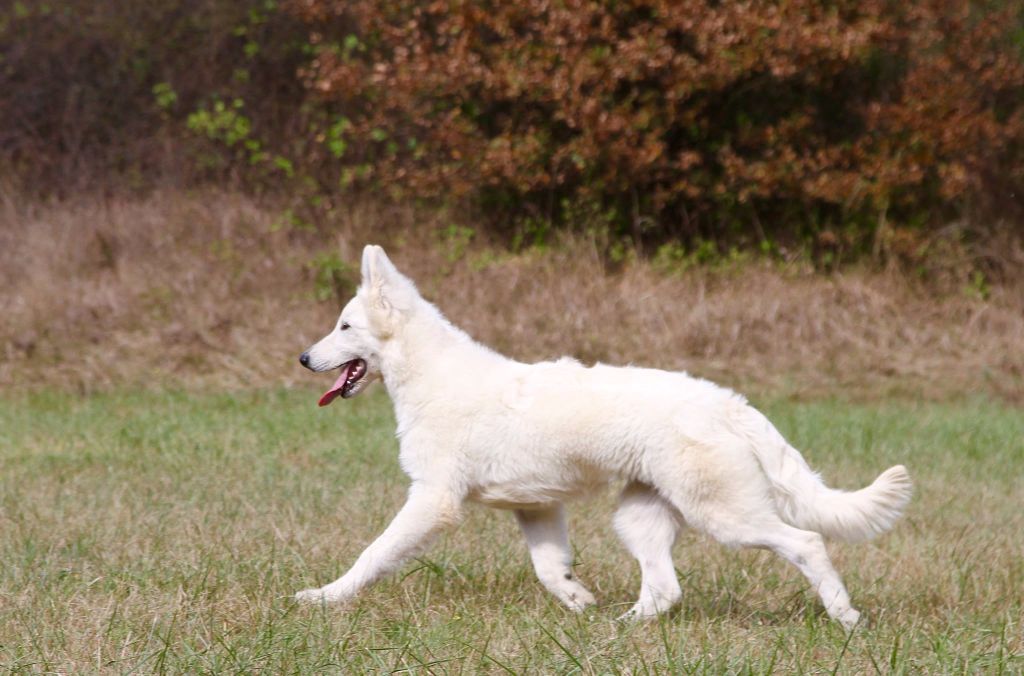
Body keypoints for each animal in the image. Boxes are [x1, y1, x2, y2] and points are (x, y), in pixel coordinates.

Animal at [299, 243, 913, 626]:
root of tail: (728, 403)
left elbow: (373, 554)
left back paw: (845, 617)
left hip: (728, 516)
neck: (430, 375)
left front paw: (325, 597)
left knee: (806, 543)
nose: (304, 358)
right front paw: (577, 602)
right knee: (665, 589)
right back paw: (619, 627)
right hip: (639, 518)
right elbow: (550, 570)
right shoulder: (536, 507)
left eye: (344, 326)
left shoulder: (434, 500)